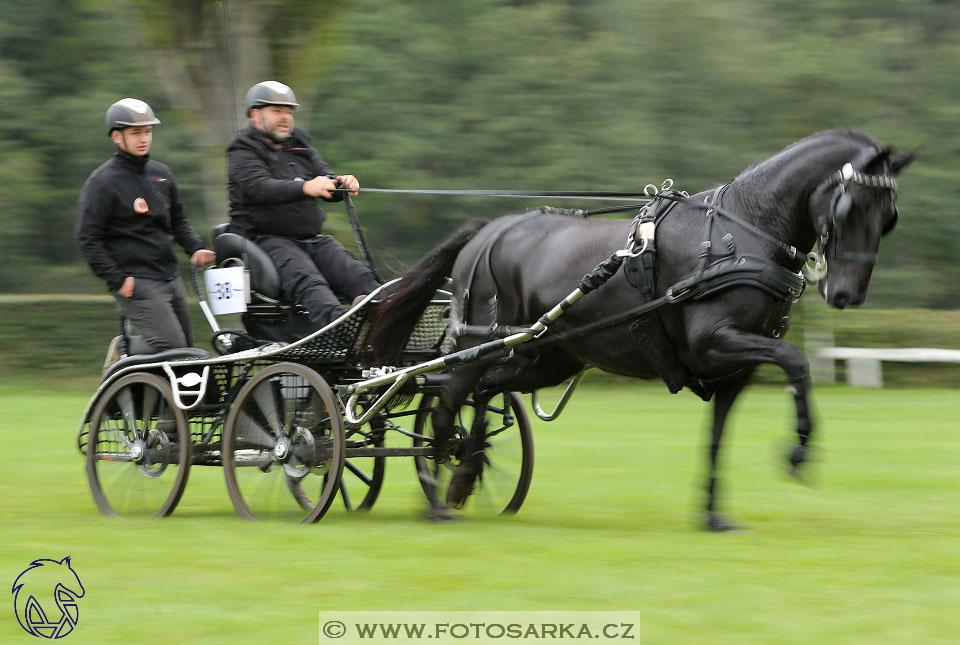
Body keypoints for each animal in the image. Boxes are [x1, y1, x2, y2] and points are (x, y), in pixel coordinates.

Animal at [366, 128, 916, 532]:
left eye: (889, 217)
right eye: (848, 208)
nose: (845, 294)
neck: (743, 232)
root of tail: (486, 231)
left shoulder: (735, 368)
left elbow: (717, 435)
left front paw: (713, 514)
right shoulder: (715, 345)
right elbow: (798, 362)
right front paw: (800, 449)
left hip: (543, 357)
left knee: (484, 393)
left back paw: (466, 472)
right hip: (479, 342)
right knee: (446, 407)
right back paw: (439, 497)